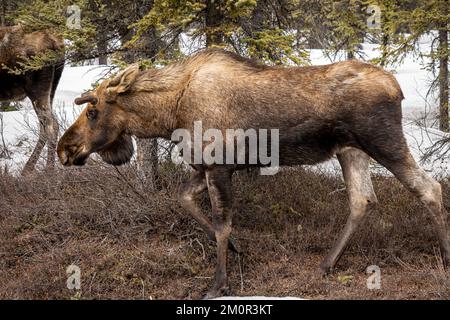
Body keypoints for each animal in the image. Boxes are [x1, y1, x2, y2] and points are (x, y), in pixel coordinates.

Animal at [0, 25, 64, 174]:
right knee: (49, 125)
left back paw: (48, 170)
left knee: (50, 126)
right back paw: (30, 168)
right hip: (51, 89)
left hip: (37, 90)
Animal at [58, 48, 450, 298]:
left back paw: (444, 256)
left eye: (92, 111)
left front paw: (219, 283)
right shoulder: (206, 166)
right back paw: (325, 265)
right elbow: (185, 199)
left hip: (384, 141)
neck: (168, 115)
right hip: (350, 150)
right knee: (362, 199)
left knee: (429, 187)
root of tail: (397, 88)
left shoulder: (218, 165)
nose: (65, 148)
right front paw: (237, 248)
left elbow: (221, 222)